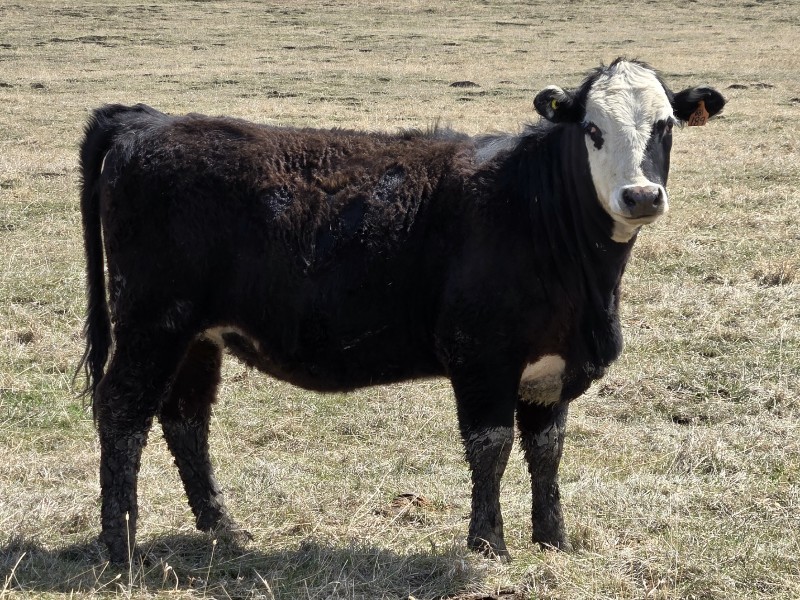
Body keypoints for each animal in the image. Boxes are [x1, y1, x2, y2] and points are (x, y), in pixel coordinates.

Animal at [77, 58, 725, 563]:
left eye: (665, 126)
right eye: (592, 129)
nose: (640, 196)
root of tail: (151, 122)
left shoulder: (550, 368)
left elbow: (547, 450)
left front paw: (552, 541)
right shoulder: (481, 357)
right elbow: (491, 445)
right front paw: (489, 545)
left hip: (196, 336)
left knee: (186, 418)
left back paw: (222, 528)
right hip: (151, 323)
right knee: (123, 412)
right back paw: (121, 547)